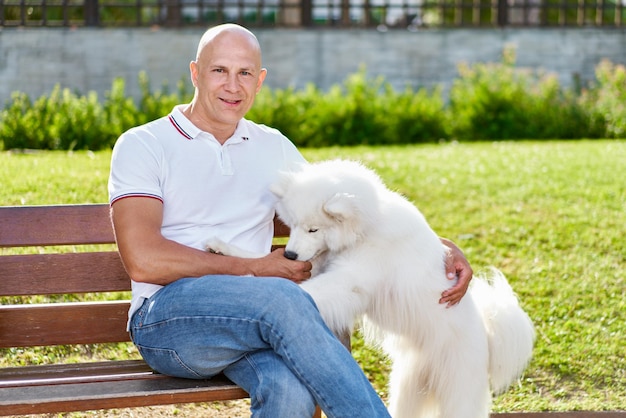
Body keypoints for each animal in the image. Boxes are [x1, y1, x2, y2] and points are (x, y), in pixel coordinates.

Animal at [204, 158, 532, 416]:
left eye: (313, 229)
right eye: (293, 225)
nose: (290, 255)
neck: (367, 227)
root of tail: (487, 337)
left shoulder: (347, 281)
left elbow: (300, 292)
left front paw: (251, 287)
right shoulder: (319, 268)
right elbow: (257, 259)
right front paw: (222, 248)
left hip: (457, 393)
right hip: (406, 387)